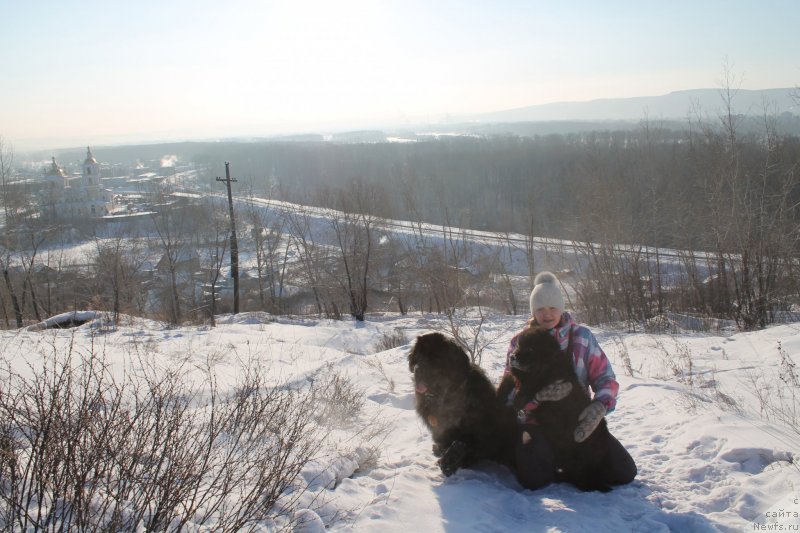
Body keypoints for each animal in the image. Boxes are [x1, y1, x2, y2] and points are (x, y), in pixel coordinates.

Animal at [410, 330, 516, 476]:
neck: (444, 396)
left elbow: (460, 445)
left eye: (436, 359)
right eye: (418, 357)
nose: (417, 369)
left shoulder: (475, 430)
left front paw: (448, 464)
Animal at [500, 326, 612, 492]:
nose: (512, 356)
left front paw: (518, 400)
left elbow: (528, 388)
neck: (545, 366)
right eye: (518, 345)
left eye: (530, 349)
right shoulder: (517, 377)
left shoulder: (544, 380)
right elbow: (508, 381)